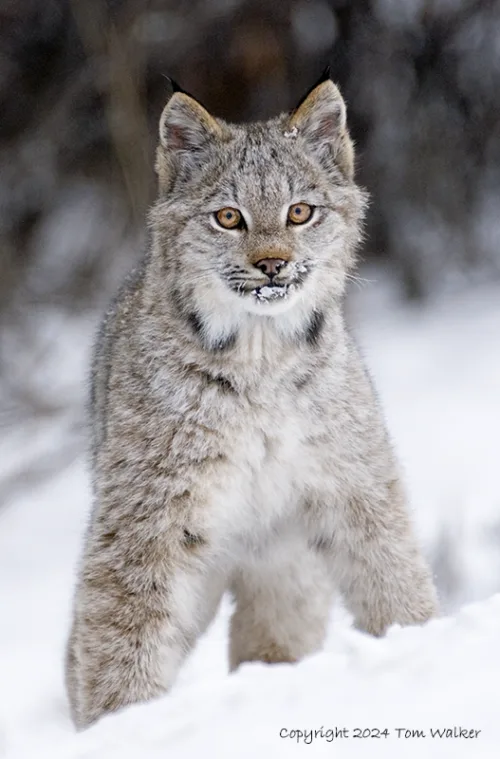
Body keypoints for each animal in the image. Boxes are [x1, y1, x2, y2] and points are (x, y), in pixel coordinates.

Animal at [65, 75, 438, 732]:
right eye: (228, 218)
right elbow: (121, 626)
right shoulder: (149, 514)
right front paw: (119, 725)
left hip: (288, 567)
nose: (272, 265)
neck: (261, 356)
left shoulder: (353, 479)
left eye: (299, 212)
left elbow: (389, 569)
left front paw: (420, 641)